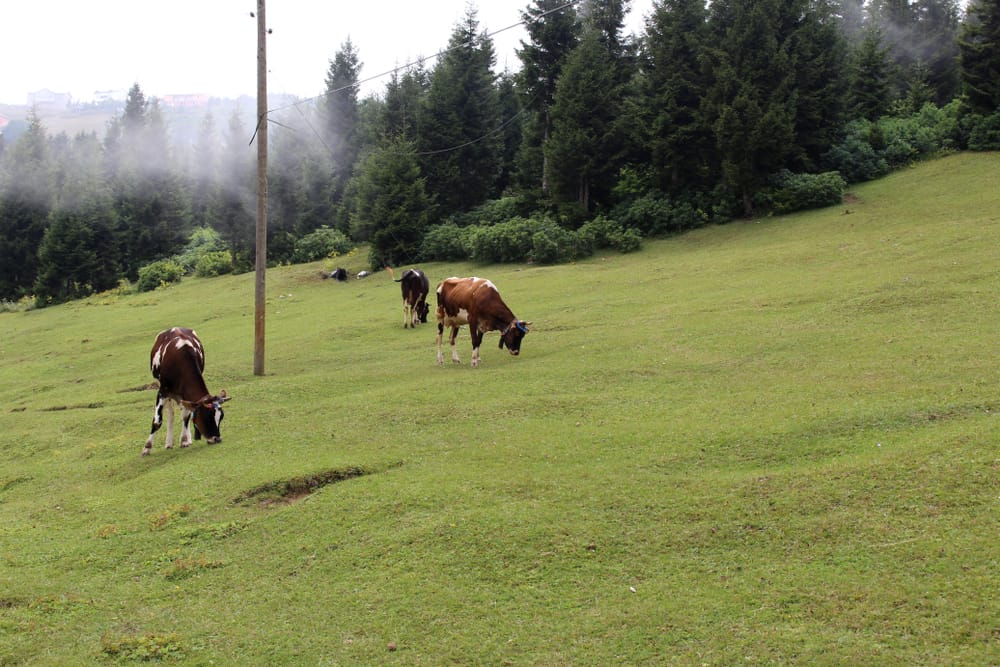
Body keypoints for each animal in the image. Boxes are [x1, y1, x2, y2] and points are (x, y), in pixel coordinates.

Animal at [142, 328, 229, 456]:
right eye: (208, 416)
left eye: (221, 417)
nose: (217, 438)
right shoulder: (162, 391)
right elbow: (157, 421)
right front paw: (147, 447)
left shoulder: (186, 395)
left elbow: (186, 416)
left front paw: (184, 440)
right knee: (170, 414)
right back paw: (169, 442)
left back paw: (186, 439)